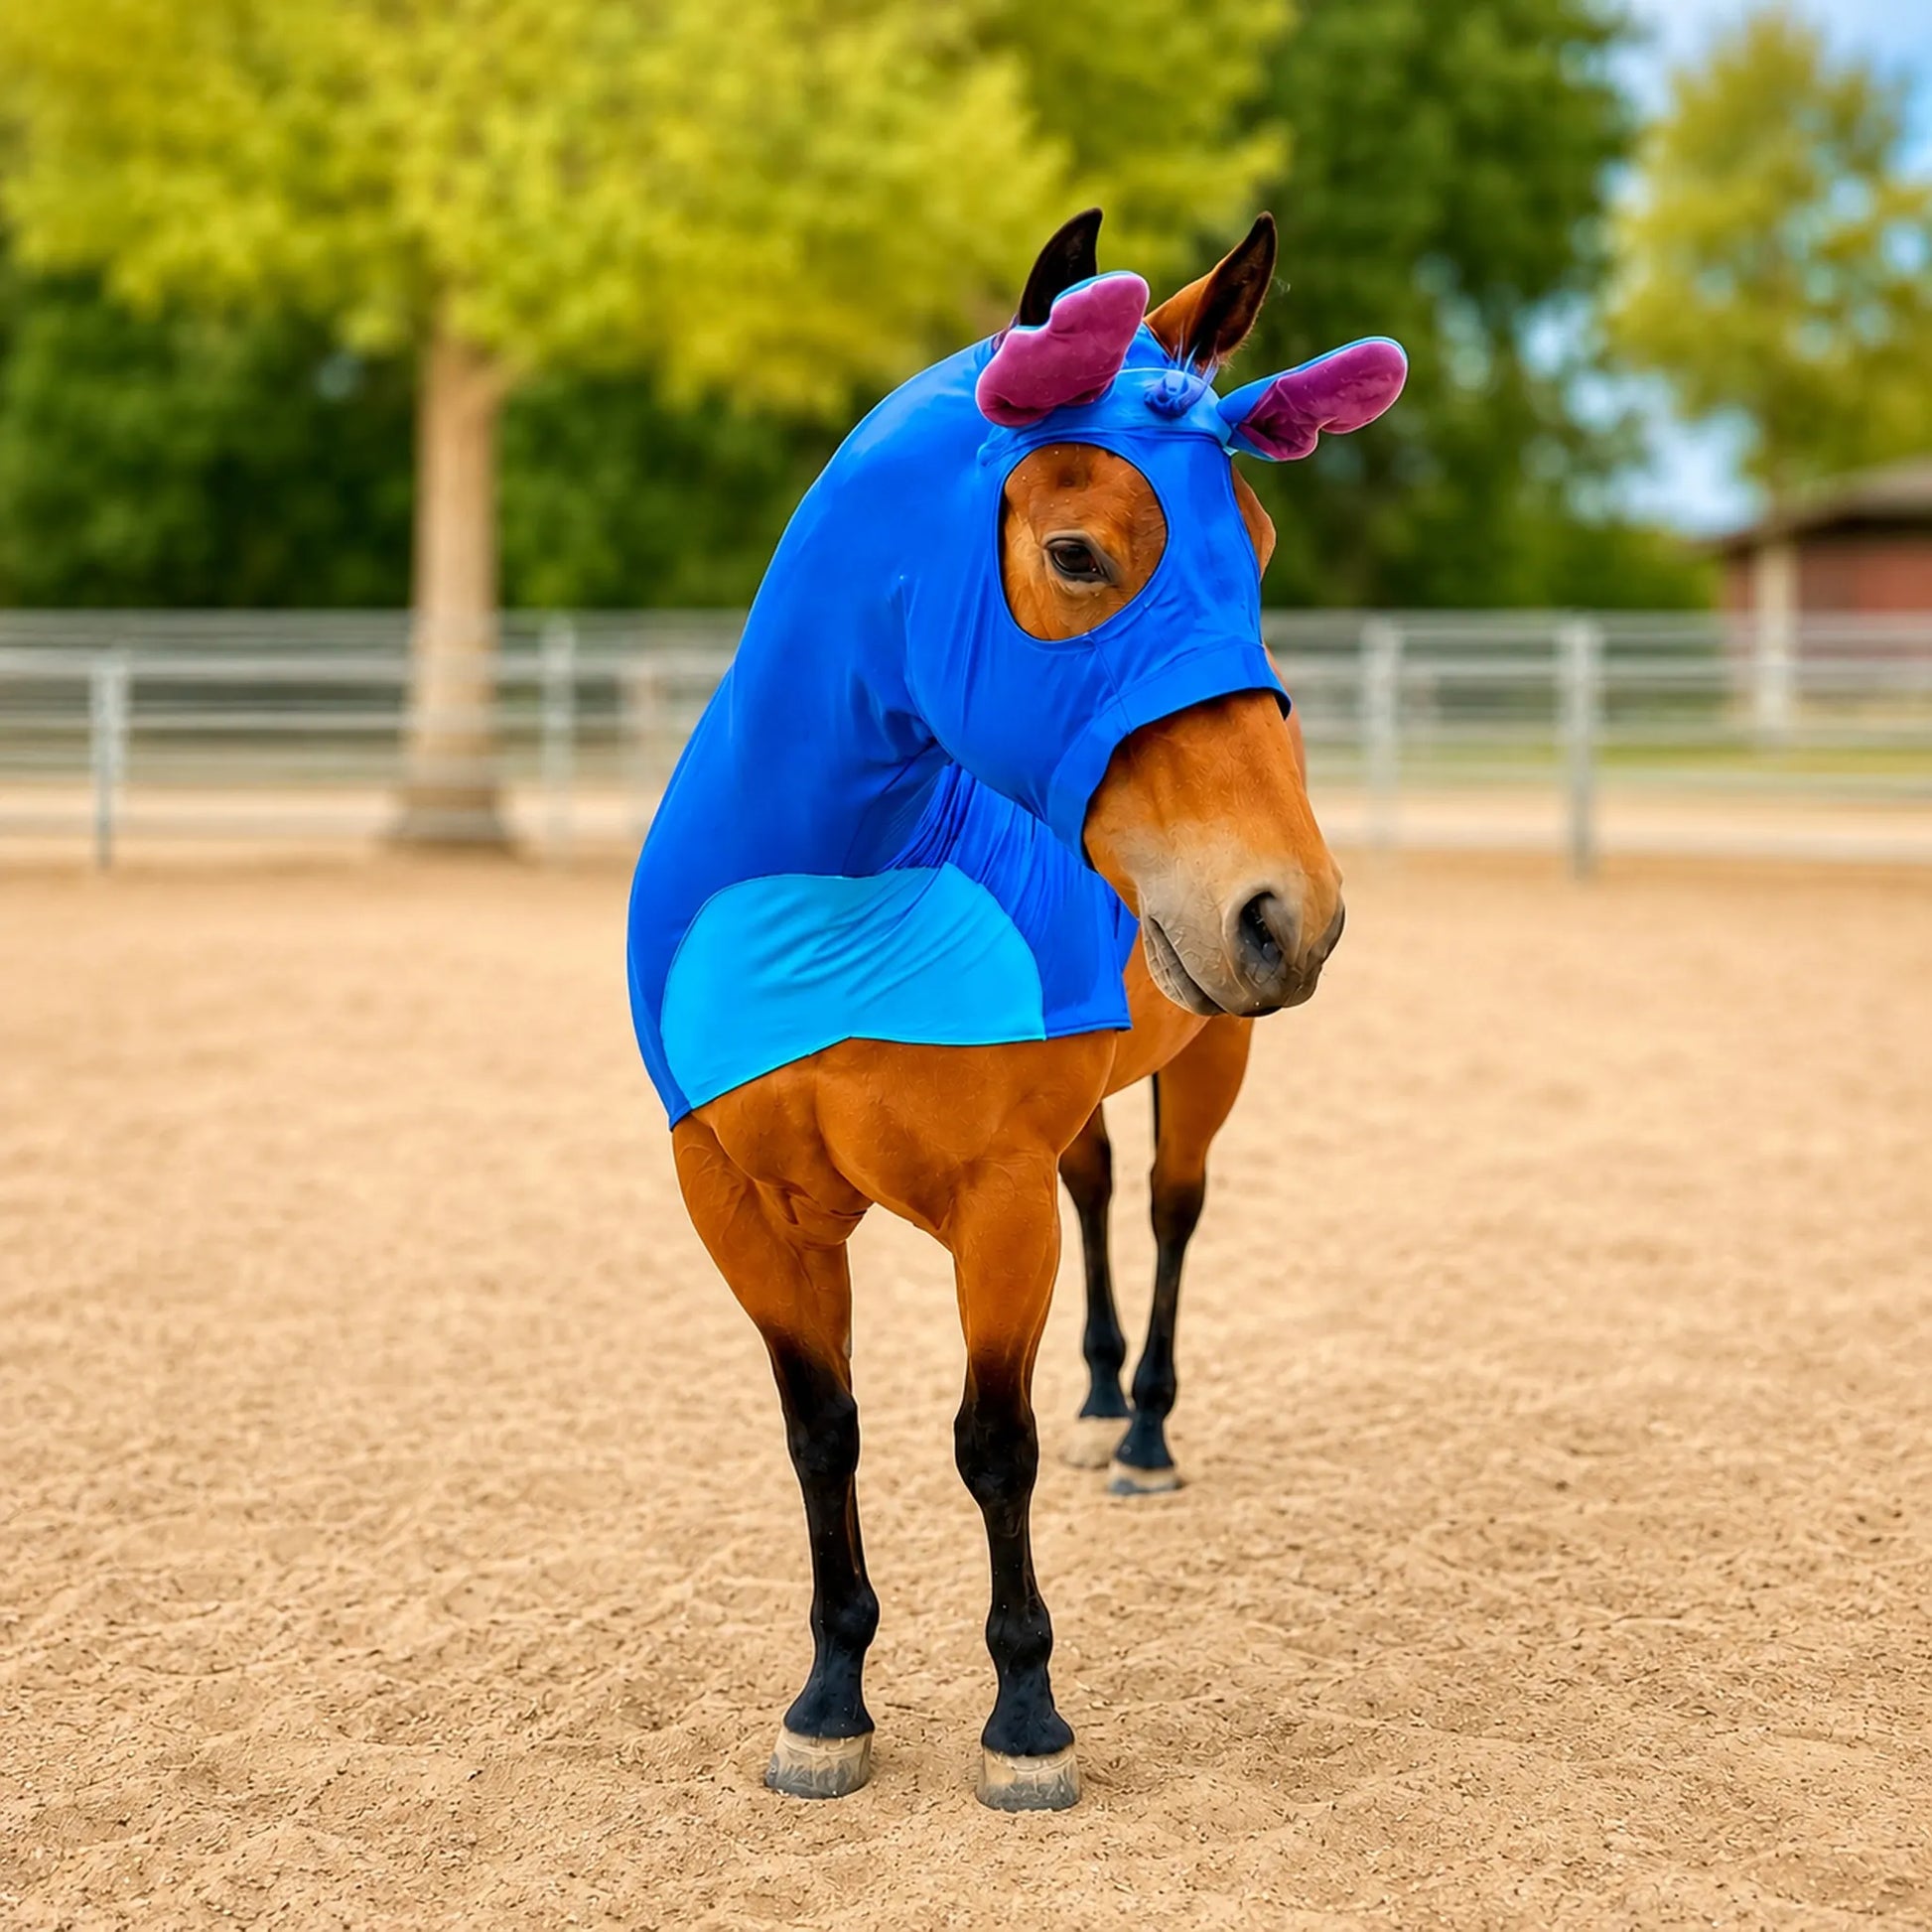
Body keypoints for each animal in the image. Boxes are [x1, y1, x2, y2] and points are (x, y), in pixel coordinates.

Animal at [626, 208, 1406, 1810]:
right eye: (1074, 552)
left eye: (1258, 550)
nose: (1287, 912)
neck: (842, 893)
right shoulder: (736, 1201)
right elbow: (821, 1436)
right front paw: (829, 1697)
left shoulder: (993, 1205)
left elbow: (993, 1443)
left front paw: (1024, 1716)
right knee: (1102, 1192)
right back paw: (1108, 1394)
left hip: (1209, 1060)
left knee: (1167, 1208)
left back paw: (1145, 1424)